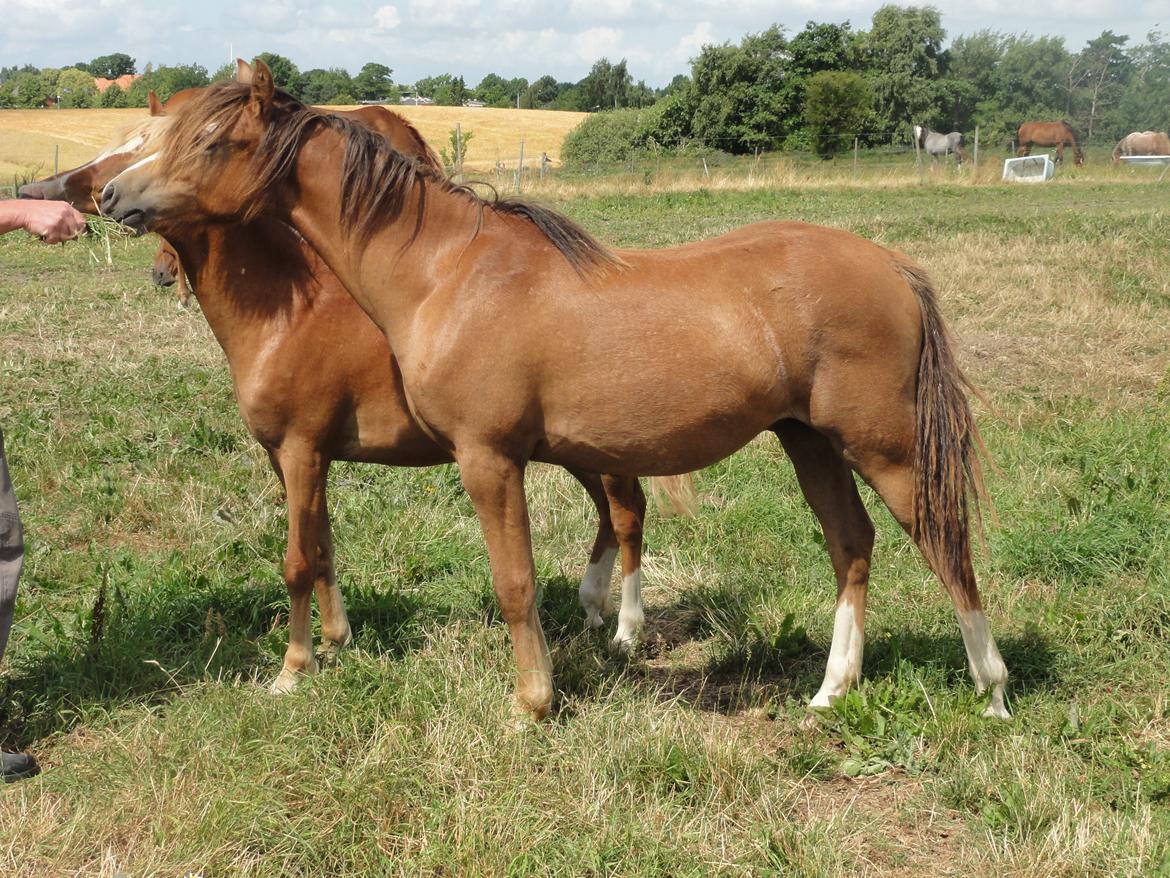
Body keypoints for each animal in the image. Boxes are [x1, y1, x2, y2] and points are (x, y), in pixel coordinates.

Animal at [27, 85, 693, 692]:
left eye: (157, 143)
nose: (98, 193)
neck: (288, 315)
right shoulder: (295, 458)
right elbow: (321, 546)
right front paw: (335, 640)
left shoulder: (301, 450)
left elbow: (297, 560)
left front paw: (294, 670)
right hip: (568, 448)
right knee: (611, 511)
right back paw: (591, 608)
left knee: (627, 510)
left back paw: (625, 630)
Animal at [101, 60, 1011, 724]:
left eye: (211, 142)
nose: (112, 195)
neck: (445, 272)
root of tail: (892, 266)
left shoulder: (486, 461)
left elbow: (515, 584)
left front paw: (531, 704)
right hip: (809, 442)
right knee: (850, 544)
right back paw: (830, 690)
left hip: (886, 449)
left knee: (945, 544)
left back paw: (991, 690)